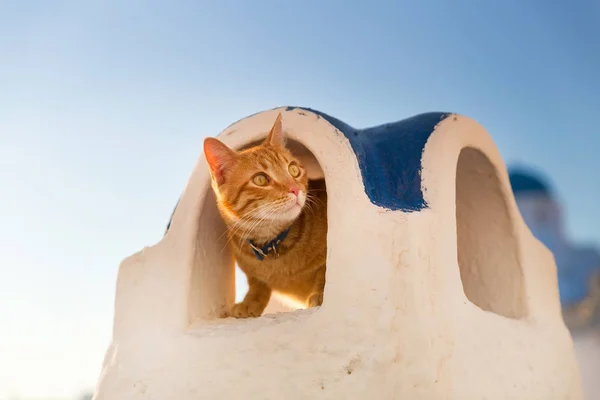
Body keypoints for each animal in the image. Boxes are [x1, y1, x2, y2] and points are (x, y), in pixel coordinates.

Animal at [205, 113, 328, 318]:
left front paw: (320, 294)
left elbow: (324, 272)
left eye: (293, 169)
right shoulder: (252, 273)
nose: (295, 189)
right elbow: (257, 283)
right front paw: (251, 301)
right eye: (260, 179)